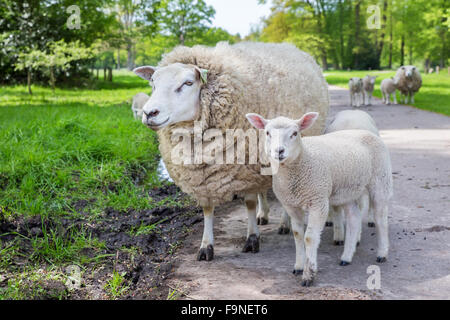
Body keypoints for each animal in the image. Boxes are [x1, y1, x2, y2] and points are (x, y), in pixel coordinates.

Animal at [134, 42, 330, 262]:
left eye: (187, 83)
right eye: (153, 83)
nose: (149, 113)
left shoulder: (247, 166)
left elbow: (250, 203)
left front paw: (252, 239)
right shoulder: (205, 176)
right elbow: (208, 209)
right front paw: (206, 246)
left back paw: (284, 223)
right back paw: (264, 215)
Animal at [248, 113, 392, 288]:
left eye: (295, 133)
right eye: (268, 133)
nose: (279, 151)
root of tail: (366, 132)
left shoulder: (318, 201)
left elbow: (309, 237)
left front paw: (309, 274)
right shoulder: (291, 205)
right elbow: (297, 234)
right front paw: (298, 266)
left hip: (380, 180)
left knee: (380, 218)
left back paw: (382, 253)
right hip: (347, 190)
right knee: (354, 218)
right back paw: (347, 257)